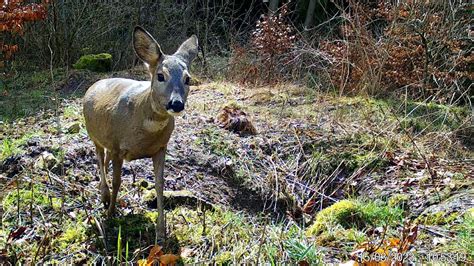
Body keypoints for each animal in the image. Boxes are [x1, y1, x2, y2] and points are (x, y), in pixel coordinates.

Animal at [82, 26, 197, 238]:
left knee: (104, 160)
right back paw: (104, 195)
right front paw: (110, 214)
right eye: (160, 75)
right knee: (100, 159)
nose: (176, 104)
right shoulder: (118, 147)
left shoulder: (160, 147)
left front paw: (161, 231)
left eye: (188, 79)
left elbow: (160, 185)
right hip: (95, 135)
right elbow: (117, 181)